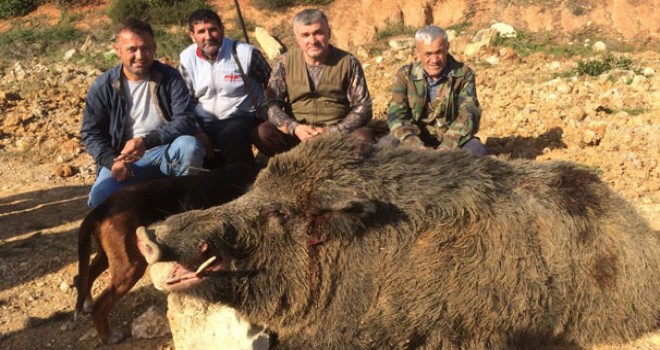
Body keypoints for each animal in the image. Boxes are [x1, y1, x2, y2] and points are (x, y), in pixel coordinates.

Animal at [73, 163, 256, 344]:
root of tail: (103, 207)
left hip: (112, 255)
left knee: (83, 276)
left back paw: (87, 303)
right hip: (131, 265)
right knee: (100, 305)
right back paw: (108, 336)